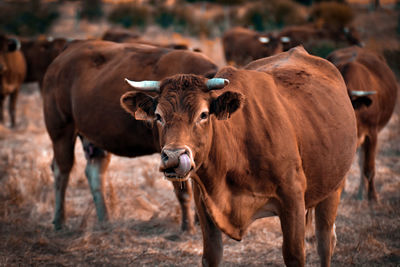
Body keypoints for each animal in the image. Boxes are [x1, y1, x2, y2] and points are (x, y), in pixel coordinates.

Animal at [41, 39, 217, 232]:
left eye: (203, 114)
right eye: (159, 116)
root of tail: (68, 51)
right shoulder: (170, 153)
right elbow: (183, 191)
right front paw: (188, 228)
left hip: (94, 139)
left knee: (95, 172)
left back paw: (105, 220)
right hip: (61, 130)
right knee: (61, 170)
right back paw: (60, 221)